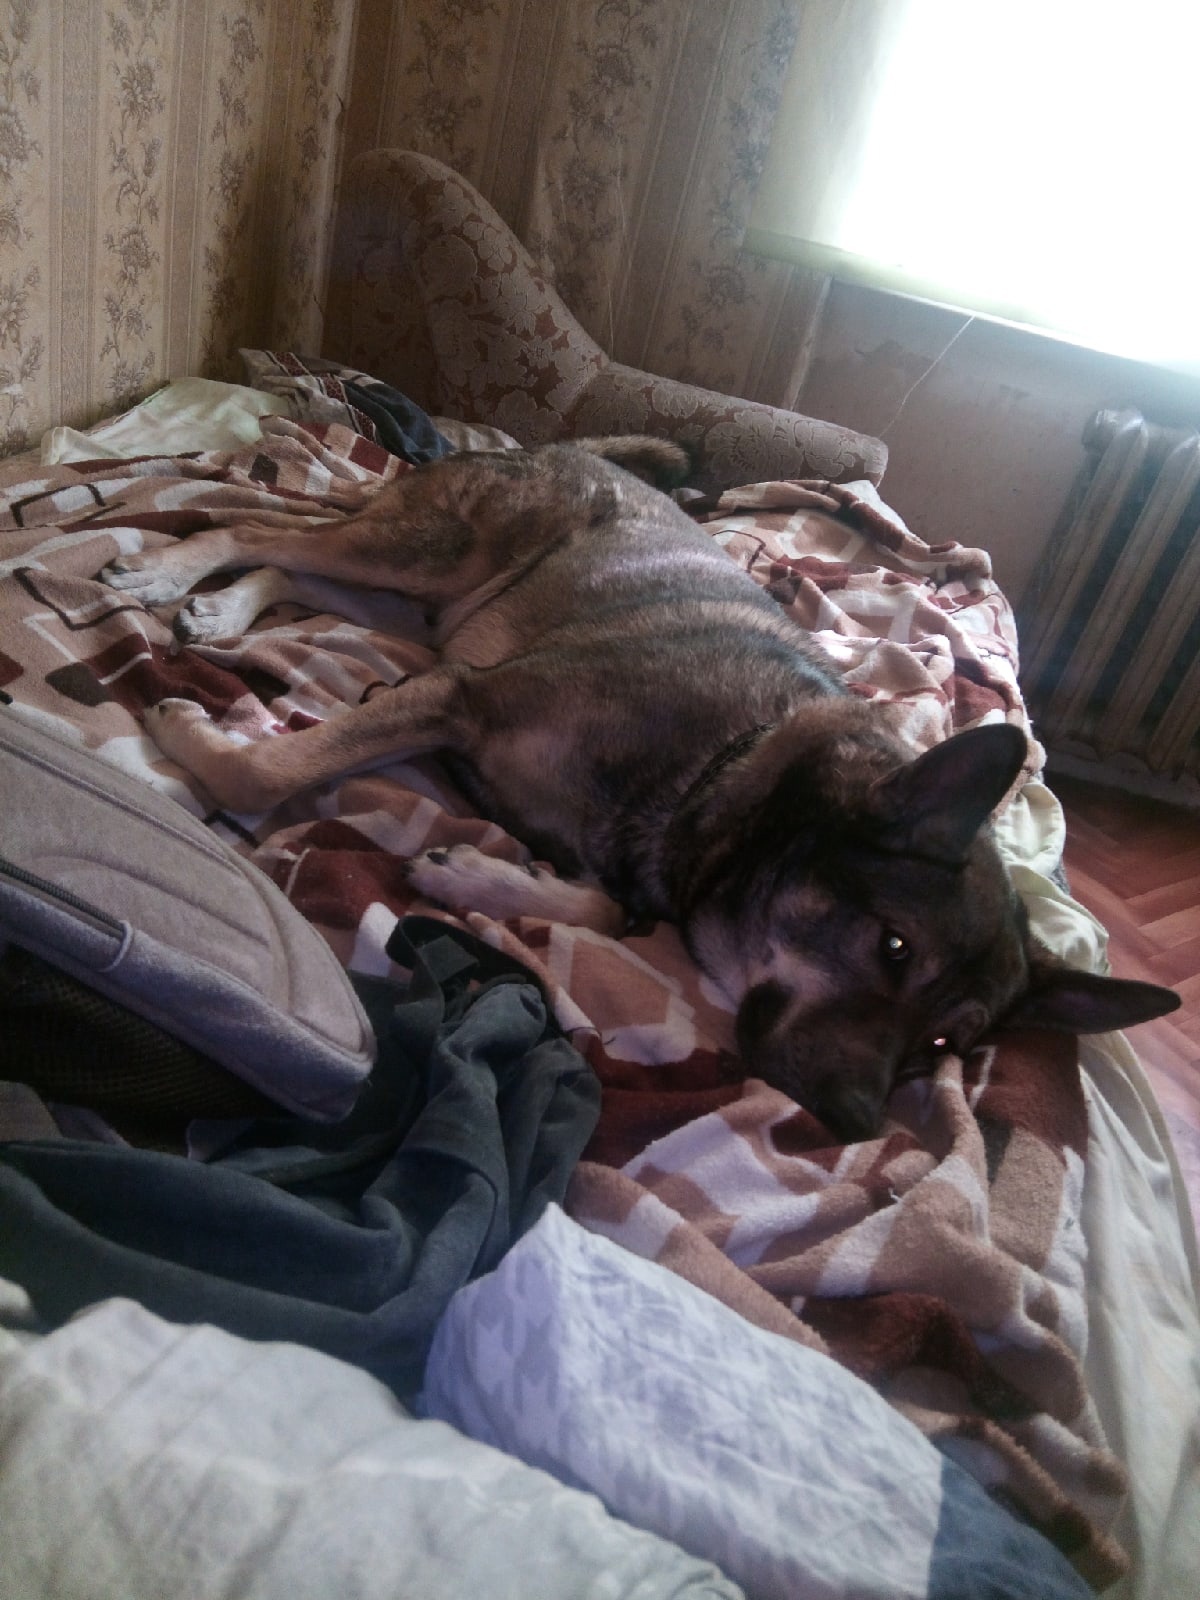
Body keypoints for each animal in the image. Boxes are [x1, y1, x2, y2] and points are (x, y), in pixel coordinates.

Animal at [100, 436, 1180, 1140]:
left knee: (296, 565)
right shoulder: (462, 695)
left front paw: (480, 879)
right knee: (255, 523)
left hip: (420, 596)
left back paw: (221, 605)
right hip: (425, 553)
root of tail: (570, 449)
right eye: (895, 946)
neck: (736, 773)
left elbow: (603, 905)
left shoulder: (485, 731)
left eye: (950, 1039)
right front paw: (192, 733)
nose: (855, 1123)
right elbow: (270, 762)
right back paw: (168, 572)